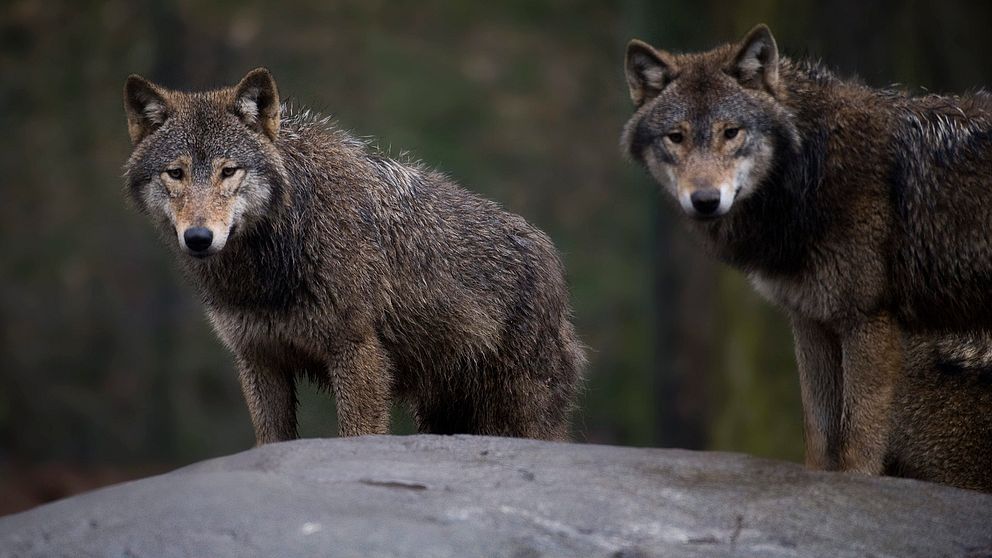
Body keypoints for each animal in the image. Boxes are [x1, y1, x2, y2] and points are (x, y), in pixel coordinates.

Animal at [121, 69, 584, 446]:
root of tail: (552, 257)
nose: (199, 238)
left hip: (514, 412)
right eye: (176, 173)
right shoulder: (259, 358)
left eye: (228, 170)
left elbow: (358, 434)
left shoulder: (357, 352)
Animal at [620, 24, 992, 474]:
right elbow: (819, 440)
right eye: (676, 137)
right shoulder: (810, 320)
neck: (811, 171)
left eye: (732, 132)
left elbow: (856, 445)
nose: (705, 200)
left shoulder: (868, 322)